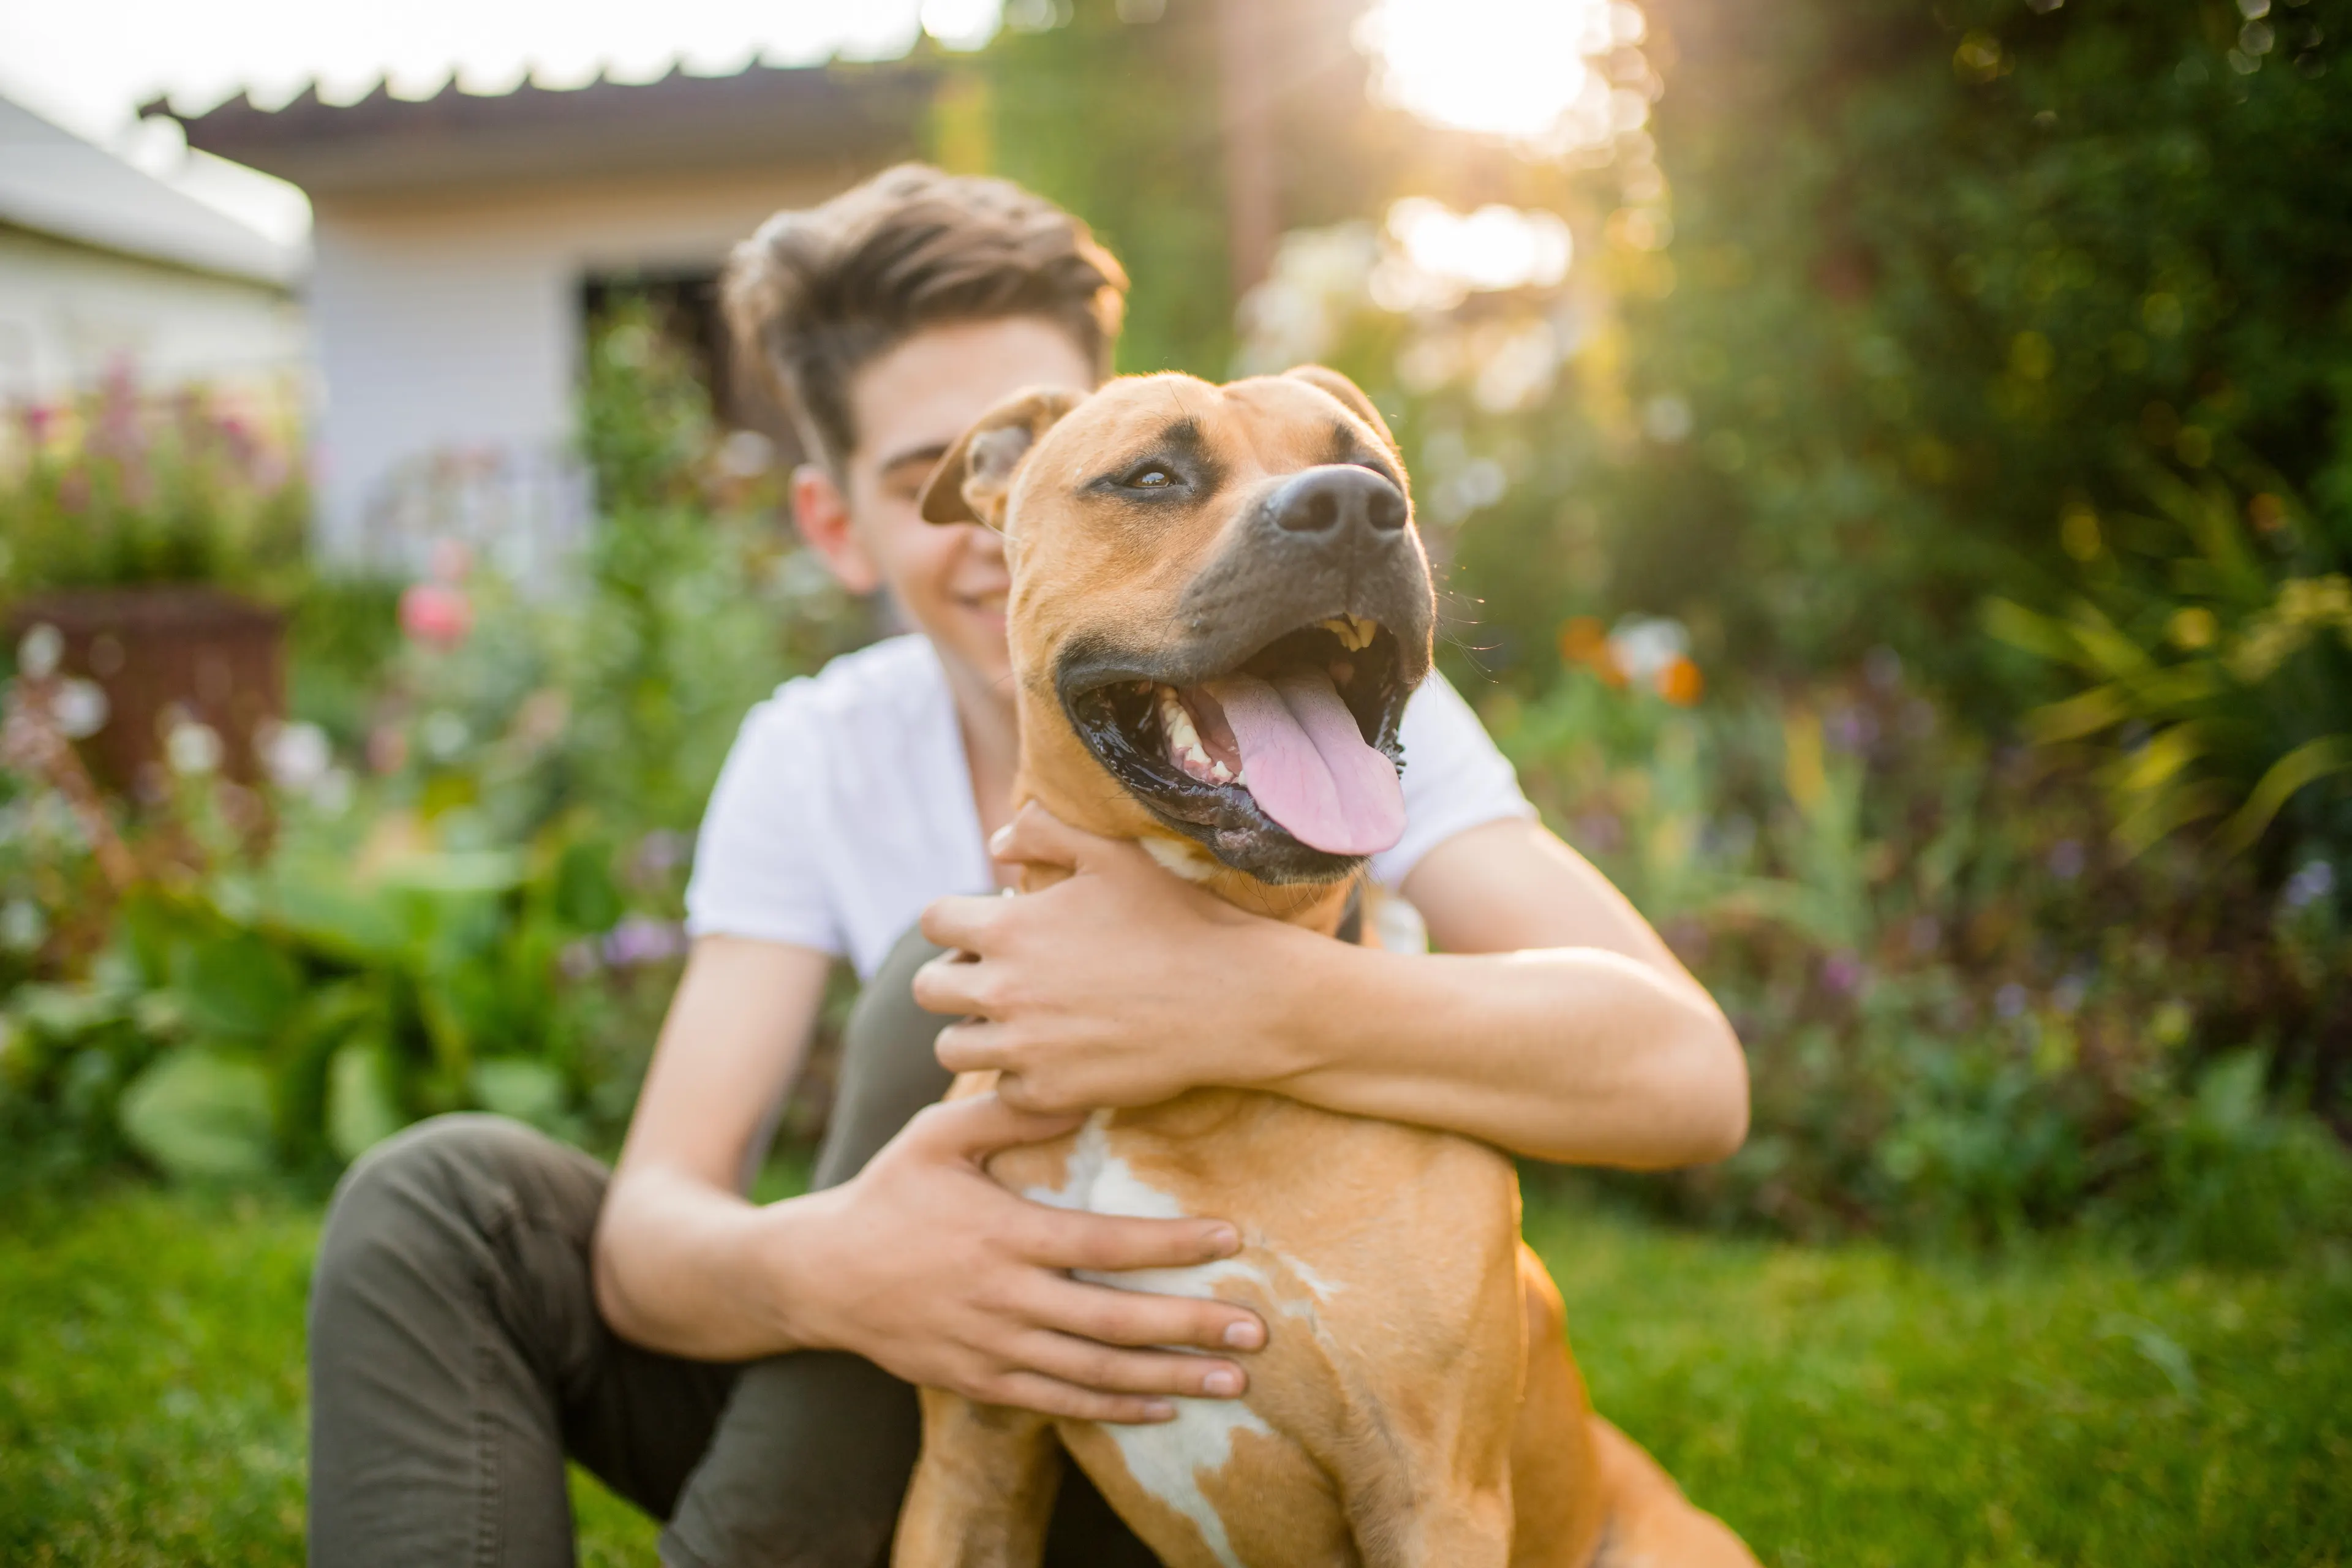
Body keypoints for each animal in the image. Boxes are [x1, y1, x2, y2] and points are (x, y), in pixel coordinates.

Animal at [889, 371, 1759, 1568]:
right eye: (1151, 475)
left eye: (1376, 470)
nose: (1352, 509)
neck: (1168, 1108)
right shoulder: (970, 1456)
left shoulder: (1435, 1497)